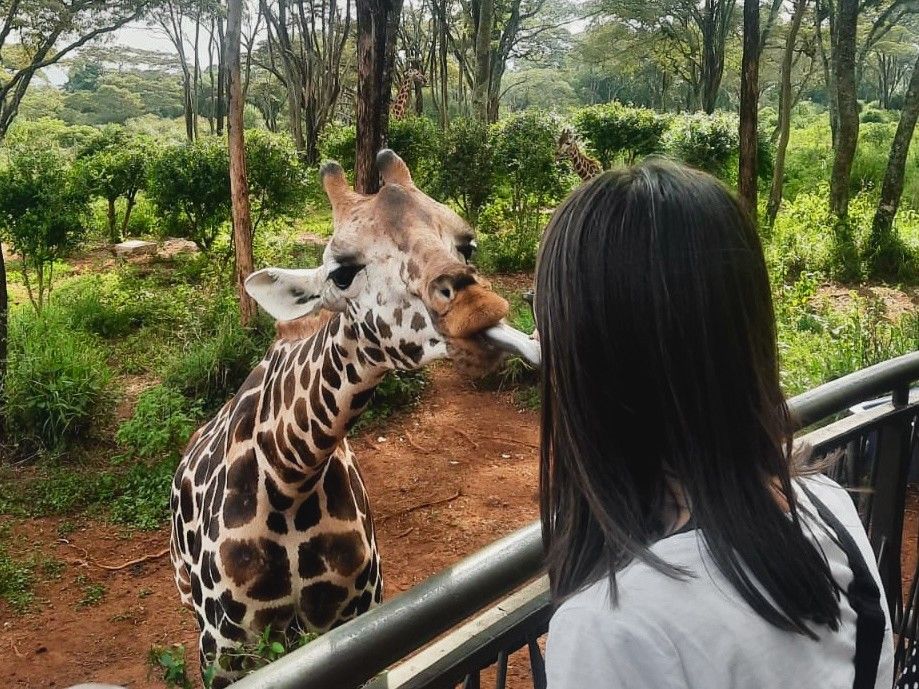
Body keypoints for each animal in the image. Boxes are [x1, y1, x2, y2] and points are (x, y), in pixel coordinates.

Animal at [169, 149, 538, 688]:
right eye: (341, 274)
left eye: (466, 244)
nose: (477, 307)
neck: (290, 479)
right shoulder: (224, 654)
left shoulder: (359, 621)